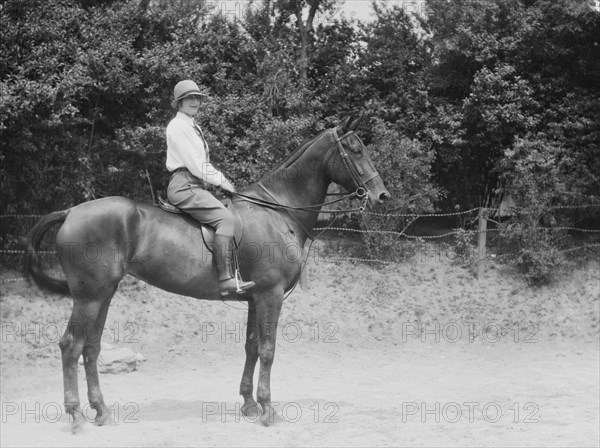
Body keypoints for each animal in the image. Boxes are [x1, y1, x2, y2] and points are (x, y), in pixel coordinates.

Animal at [24, 115, 390, 430]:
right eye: (355, 149)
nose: (382, 195)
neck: (278, 211)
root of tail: (71, 211)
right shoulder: (270, 296)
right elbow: (268, 349)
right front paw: (267, 409)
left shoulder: (255, 299)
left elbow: (252, 347)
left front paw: (249, 403)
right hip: (89, 296)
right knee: (71, 346)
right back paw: (75, 415)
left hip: (103, 294)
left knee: (91, 348)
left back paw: (100, 410)